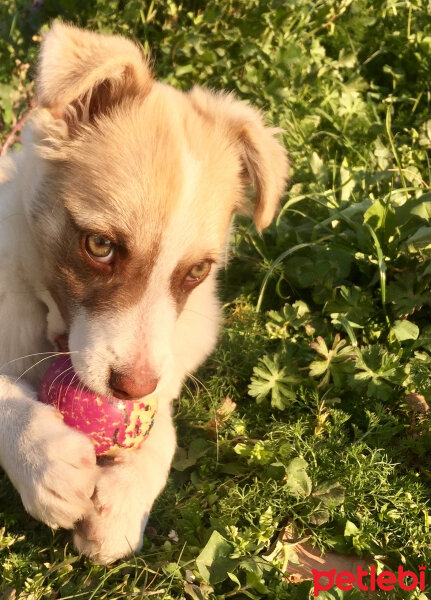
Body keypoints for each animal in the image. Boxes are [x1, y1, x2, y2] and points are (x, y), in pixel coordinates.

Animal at [0, 22, 290, 564]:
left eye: (196, 270)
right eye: (99, 245)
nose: (132, 389)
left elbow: (164, 432)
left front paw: (123, 502)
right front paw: (42, 455)